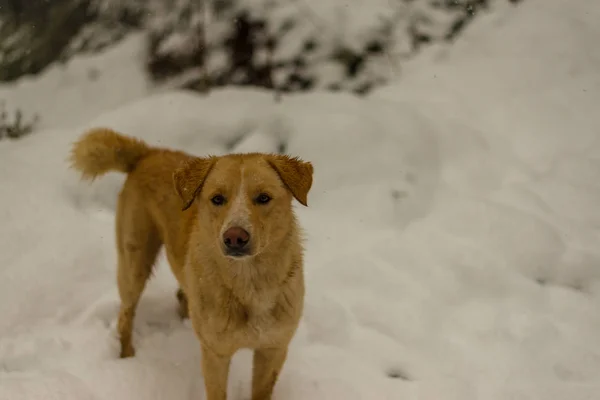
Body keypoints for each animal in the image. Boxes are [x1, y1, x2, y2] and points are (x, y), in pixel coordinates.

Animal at [69, 128, 314, 400]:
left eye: (263, 198)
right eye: (217, 199)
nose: (234, 237)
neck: (250, 284)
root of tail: (149, 153)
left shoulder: (273, 349)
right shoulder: (215, 354)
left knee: (180, 294)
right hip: (134, 264)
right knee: (126, 315)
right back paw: (126, 357)